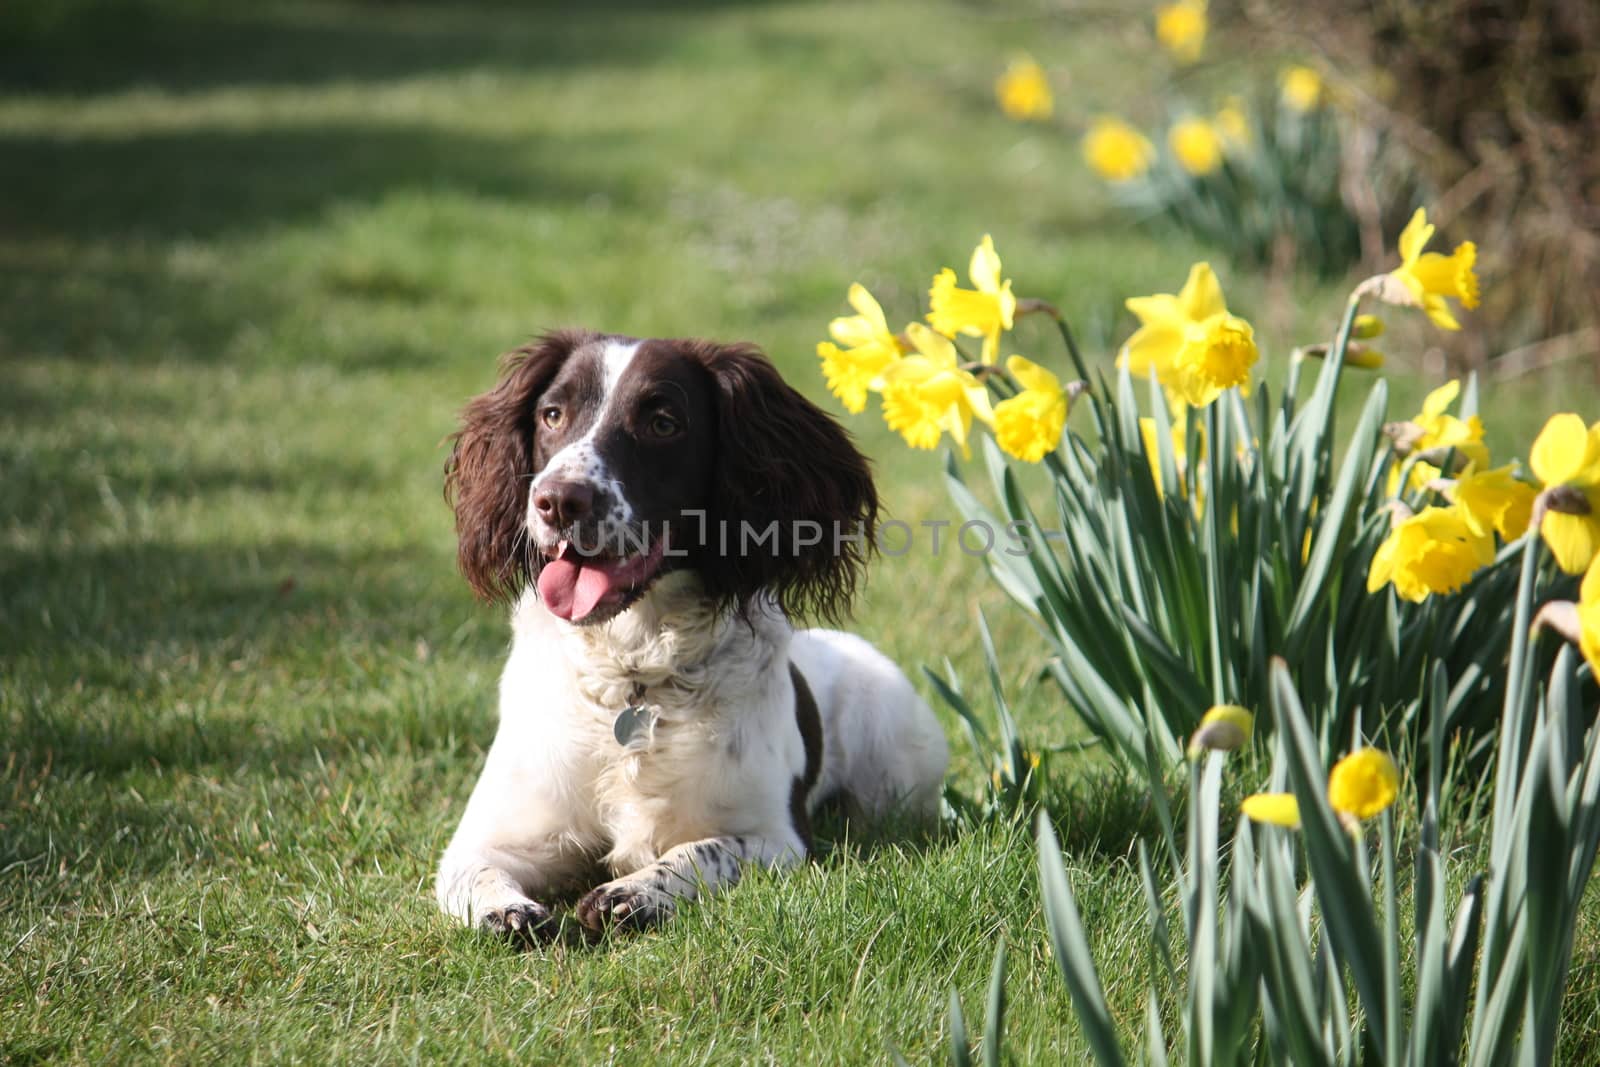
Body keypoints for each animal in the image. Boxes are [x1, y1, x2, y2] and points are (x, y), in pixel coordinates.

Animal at [432, 329, 947, 940]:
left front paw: (633, 892)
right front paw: (508, 911)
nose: (558, 500)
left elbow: (700, 852)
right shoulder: (490, 838)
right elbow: (478, 873)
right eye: (552, 414)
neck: (634, 673)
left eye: (662, 423)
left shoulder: (777, 837)